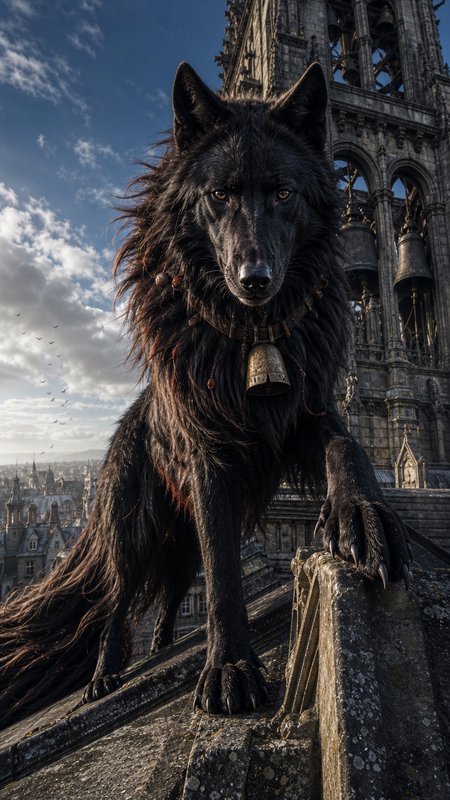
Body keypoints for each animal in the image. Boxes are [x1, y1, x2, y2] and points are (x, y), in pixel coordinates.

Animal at [0, 63, 411, 727]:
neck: (253, 331)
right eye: (217, 195)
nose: (255, 280)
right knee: (118, 601)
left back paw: (163, 647)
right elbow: (223, 573)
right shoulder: (210, 457)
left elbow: (346, 450)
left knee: (169, 596)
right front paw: (230, 669)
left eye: (284, 194)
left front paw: (364, 518)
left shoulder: (310, 415)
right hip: (133, 525)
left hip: (177, 537)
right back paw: (105, 674)